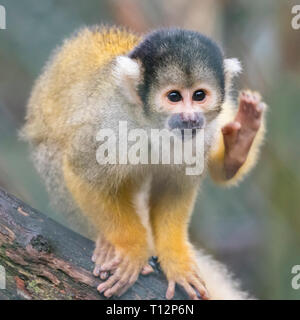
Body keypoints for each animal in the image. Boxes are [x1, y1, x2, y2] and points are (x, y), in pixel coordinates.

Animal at [22, 26, 268, 300]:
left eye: (199, 95)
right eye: (174, 96)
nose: (190, 118)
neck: (152, 125)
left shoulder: (203, 132)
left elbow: (175, 187)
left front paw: (175, 260)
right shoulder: (109, 124)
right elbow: (82, 173)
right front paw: (132, 248)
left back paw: (237, 148)